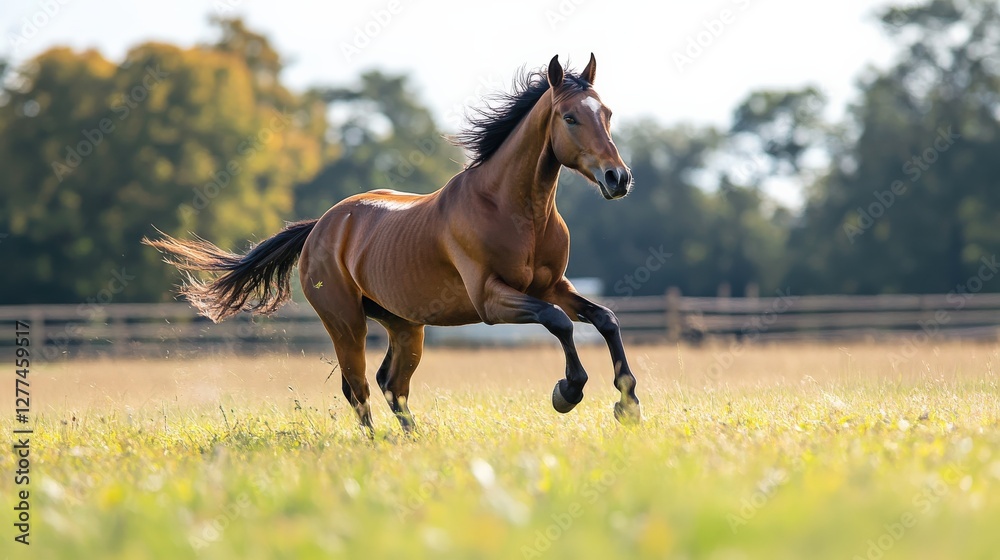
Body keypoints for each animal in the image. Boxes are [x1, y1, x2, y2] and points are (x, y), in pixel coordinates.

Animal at [144, 53, 642, 434]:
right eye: (570, 117)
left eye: (607, 113)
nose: (618, 178)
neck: (515, 211)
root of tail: (321, 226)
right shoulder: (491, 300)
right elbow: (558, 322)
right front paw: (567, 391)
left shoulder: (552, 285)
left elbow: (605, 318)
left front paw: (628, 405)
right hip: (346, 323)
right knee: (358, 386)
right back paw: (379, 445)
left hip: (405, 325)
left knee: (391, 383)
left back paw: (413, 439)